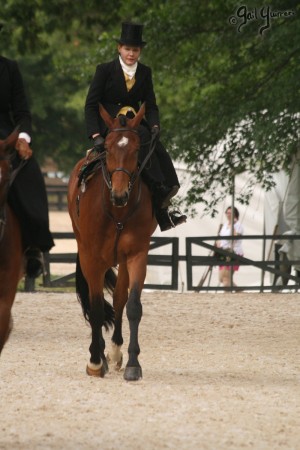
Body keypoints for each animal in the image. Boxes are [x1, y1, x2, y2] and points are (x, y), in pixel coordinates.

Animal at [68, 103, 157, 382]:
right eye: (107, 147)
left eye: (137, 149)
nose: (120, 195)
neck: (116, 211)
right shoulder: (92, 258)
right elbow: (96, 308)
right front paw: (95, 362)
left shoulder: (137, 254)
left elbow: (132, 305)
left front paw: (132, 363)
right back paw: (99, 354)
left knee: (119, 299)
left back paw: (115, 352)